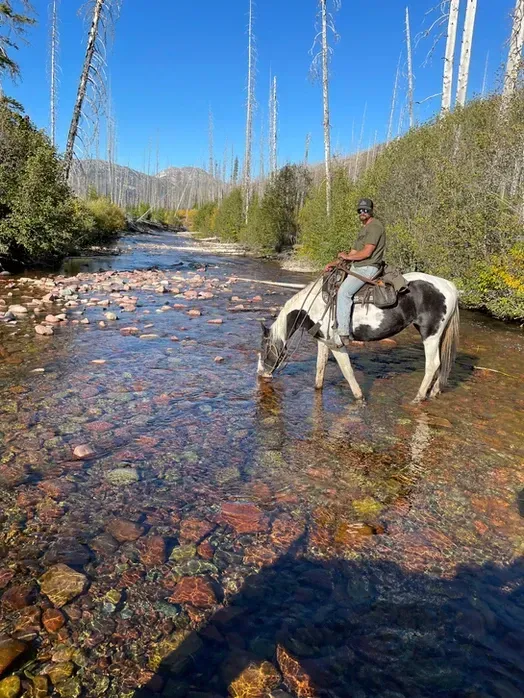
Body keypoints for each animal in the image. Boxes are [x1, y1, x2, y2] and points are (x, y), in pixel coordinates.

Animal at [257, 272, 460, 403]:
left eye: (265, 350)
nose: (261, 374)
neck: (314, 306)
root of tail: (449, 286)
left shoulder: (337, 345)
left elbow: (347, 371)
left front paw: (359, 397)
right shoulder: (323, 342)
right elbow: (320, 368)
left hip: (430, 334)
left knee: (433, 364)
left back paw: (418, 397)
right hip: (439, 335)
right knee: (442, 364)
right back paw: (434, 392)